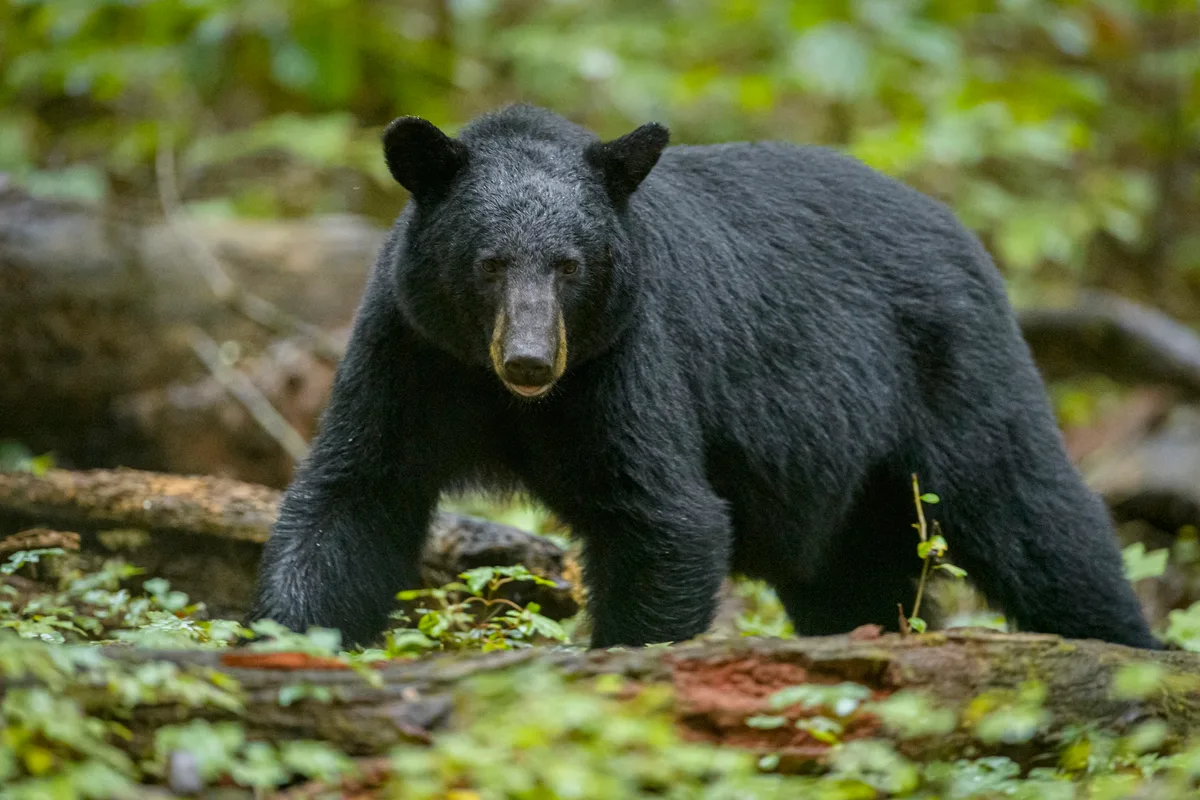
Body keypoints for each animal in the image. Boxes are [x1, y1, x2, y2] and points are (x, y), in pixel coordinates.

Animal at [248, 104, 1159, 651]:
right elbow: (357, 496)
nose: (531, 360)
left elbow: (664, 518)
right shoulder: (410, 348)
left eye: (571, 266)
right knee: (855, 579)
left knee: (1034, 514)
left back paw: (1130, 650)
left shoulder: (626, 359)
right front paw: (291, 640)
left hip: (952, 369)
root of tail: (961, 229)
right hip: (852, 484)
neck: (502, 392)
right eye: (490, 262)